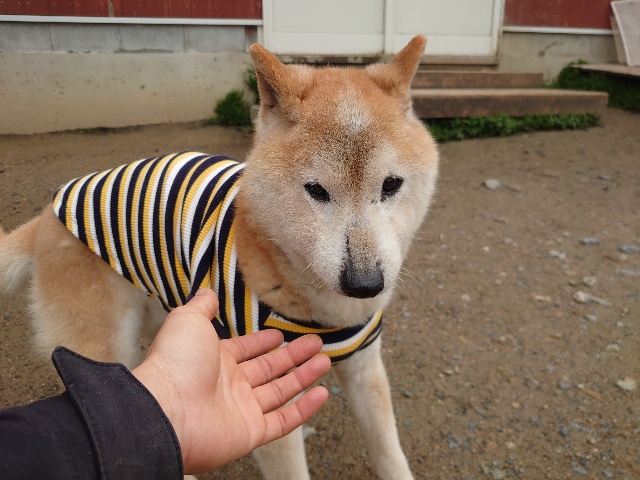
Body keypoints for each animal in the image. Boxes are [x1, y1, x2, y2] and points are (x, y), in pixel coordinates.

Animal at [0, 35, 439, 479]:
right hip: (101, 351)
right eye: (316, 190)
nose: (365, 285)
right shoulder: (267, 394)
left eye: (391, 185)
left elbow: (388, 451)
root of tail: (48, 214)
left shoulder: (365, 368)